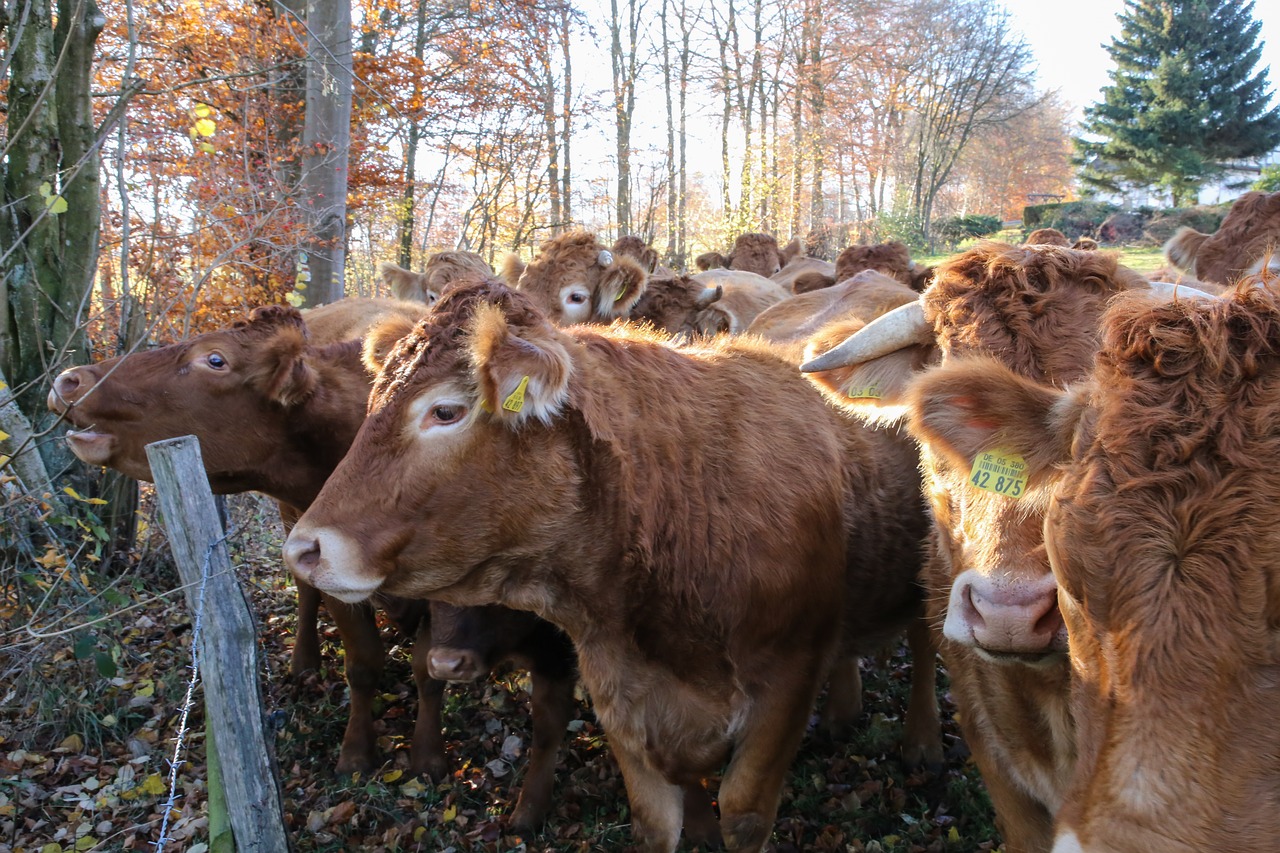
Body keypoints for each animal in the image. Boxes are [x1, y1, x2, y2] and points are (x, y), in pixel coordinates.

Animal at [282, 279, 942, 850]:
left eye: (445, 411)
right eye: (371, 404)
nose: (301, 549)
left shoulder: (786, 685)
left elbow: (745, 814)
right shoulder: (618, 688)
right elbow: (655, 821)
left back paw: (922, 742)